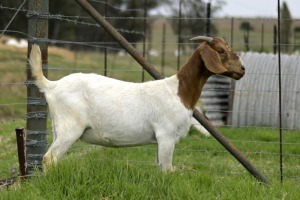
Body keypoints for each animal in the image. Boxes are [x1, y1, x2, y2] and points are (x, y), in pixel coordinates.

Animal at [28, 36, 245, 170]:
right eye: (221, 51)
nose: (242, 69)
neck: (179, 91)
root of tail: (52, 85)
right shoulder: (166, 135)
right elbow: (167, 169)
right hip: (70, 127)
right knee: (49, 158)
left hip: (59, 127)